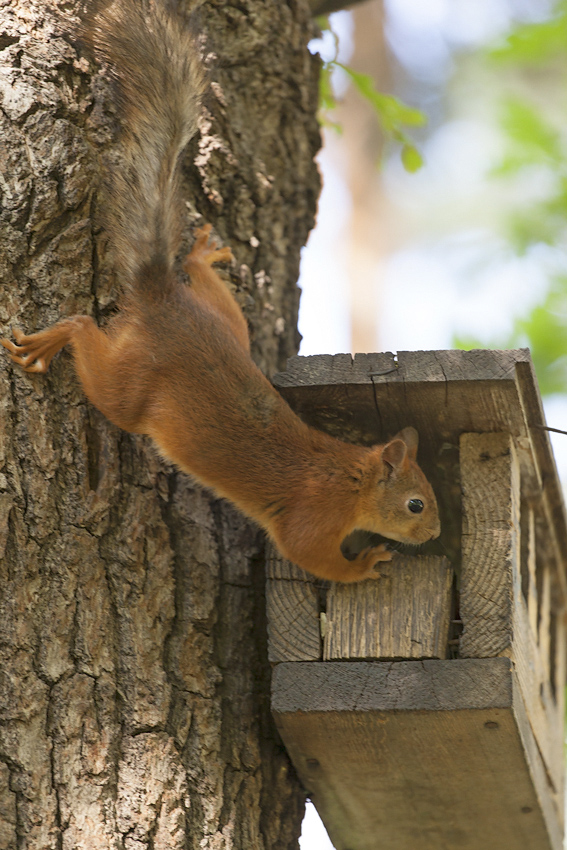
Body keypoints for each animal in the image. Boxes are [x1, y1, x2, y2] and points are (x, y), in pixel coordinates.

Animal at [0, 0, 442, 580]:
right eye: (415, 503)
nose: (435, 533)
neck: (350, 478)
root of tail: (162, 298)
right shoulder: (311, 520)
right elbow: (312, 557)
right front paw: (367, 563)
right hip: (130, 386)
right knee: (86, 334)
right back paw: (49, 341)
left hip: (231, 326)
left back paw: (199, 256)